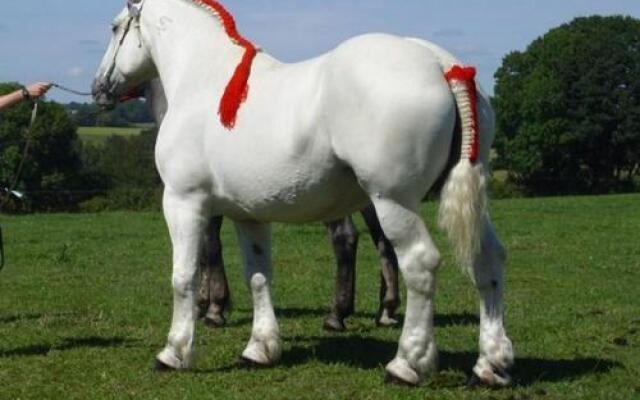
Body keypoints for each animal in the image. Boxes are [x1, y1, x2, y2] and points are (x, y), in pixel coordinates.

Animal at [92, 0, 512, 386]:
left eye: (114, 28)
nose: (99, 87)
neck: (205, 82)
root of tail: (440, 63)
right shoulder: (248, 214)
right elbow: (258, 275)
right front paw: (260, 348)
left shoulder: (184, 201)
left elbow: (183, 276)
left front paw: (174, 352)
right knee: (488, 262)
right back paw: (491, 365)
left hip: (392, 201)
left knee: (420, 265)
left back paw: (407, 363)